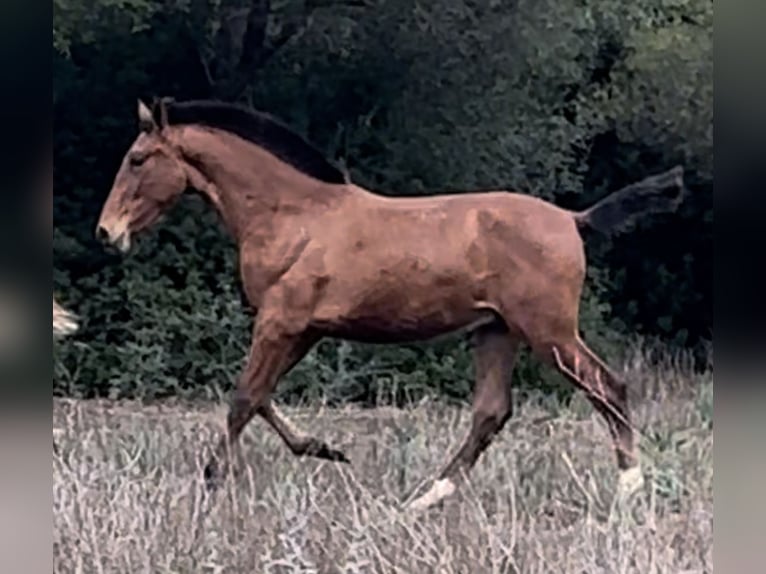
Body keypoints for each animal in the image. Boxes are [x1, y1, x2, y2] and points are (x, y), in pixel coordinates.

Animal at [95, 97, 684, 510]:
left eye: (138, 159)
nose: (106, 232)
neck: (293, 216)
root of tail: (574, 219)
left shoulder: (281, 321)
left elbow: (243, 398)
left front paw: (212, 481)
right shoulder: (302, 328)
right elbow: (261, 397)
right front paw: (324, 449)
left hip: (549, 332)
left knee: (608, 386)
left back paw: (629, 488)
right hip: (496, 331)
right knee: (491, 413)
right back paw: (425, 499)